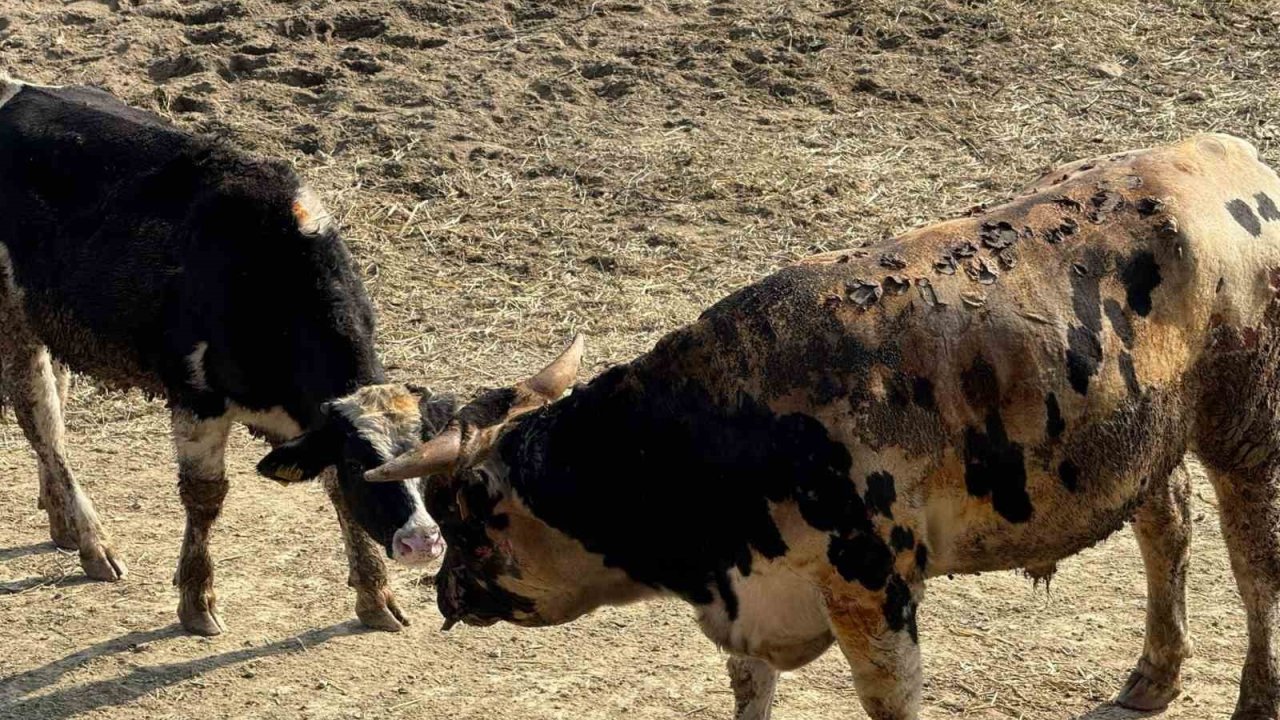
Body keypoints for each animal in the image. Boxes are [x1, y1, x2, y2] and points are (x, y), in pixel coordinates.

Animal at [0, 74, 440, 632]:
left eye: (426, 457)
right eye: (364, 463)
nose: (423, 542)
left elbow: (333, 492)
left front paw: (375, 594)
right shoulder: (197, 398)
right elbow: (205, 497)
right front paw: (197, 599)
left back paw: (62, 523)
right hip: (13, 324)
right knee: (45, 428)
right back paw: (93, 542)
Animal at [353, 134, 1280, 717]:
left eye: (460, 511)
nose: (442, 589)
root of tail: (1227, 153)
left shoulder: (872, 589)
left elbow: (887, 699)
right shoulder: (747, 602)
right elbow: (750, 692)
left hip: (1246, 431)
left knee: (1254, 570)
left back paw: (1252, 698)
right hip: (1147, 438)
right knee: (1167, 529)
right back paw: (1153, 677)